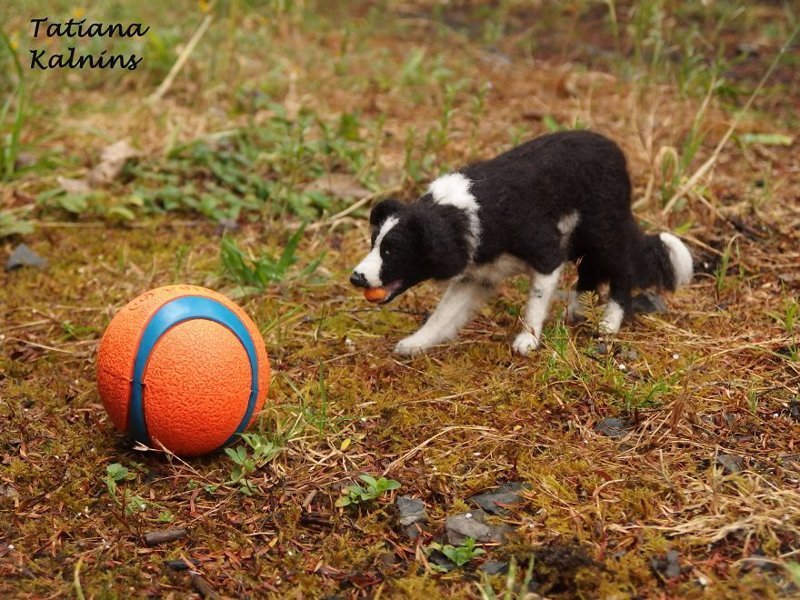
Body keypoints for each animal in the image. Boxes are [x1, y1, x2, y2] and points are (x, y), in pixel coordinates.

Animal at [350, 130, 692, 356]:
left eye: (392, 250)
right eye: (373, 242)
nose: (355, 277)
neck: (463, 214)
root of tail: (614, 149)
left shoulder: (546, 250)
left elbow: (535, 301)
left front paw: (527, 341)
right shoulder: (477, 274)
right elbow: (444, 313)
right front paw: (416, 343)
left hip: (603, 229)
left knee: (622, 269)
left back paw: (609, 322)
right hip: (582, 238)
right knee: (589, 273)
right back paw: (577, 311)